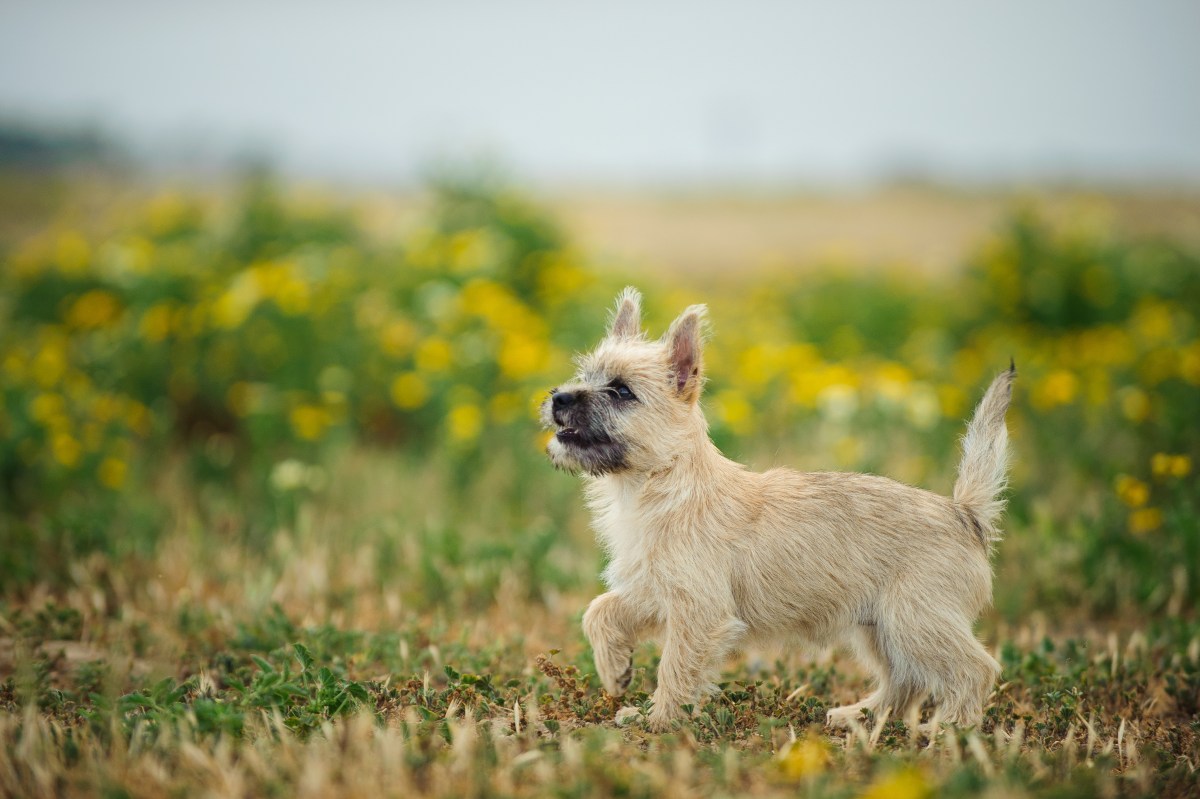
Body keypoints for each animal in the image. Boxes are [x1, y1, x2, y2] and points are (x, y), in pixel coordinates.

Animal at [542, 286, 1012, 729]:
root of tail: (964, 513)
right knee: (905, 679)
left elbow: (675, 668)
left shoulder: (698, 611)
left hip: (914, 621)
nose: (559, 398)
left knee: (975, 669)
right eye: (585, 376)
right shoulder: (654, 591)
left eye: (621, 391)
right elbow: (600, 610)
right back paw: (862, 715)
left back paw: (950, 729)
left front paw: (658, 719)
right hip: (882, 628)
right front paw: (615, 669)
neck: (657, 484)